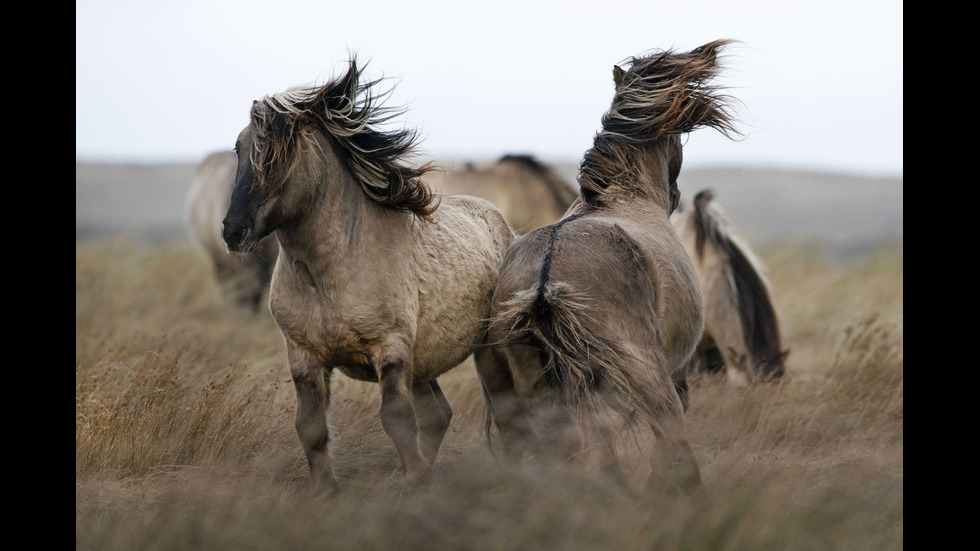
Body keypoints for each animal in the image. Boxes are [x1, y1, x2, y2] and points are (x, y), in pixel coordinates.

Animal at [220, 57, 512, 496]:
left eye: (281, 153)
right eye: (239, 147)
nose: (233, 231)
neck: (328, 276)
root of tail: (501, 222)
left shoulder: (391, 349)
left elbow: (397, 418)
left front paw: (416, 481)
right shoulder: (303, 356)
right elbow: (310, 427)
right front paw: (326, 491)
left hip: (488, 352)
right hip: (422, 367)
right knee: (438, 414)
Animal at [478, 41, 740, 494]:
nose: (676, 196)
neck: (625, 197)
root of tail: (544, 286)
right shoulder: (677, 373)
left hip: (520, 398)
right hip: (649, 378)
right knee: (663, 439)